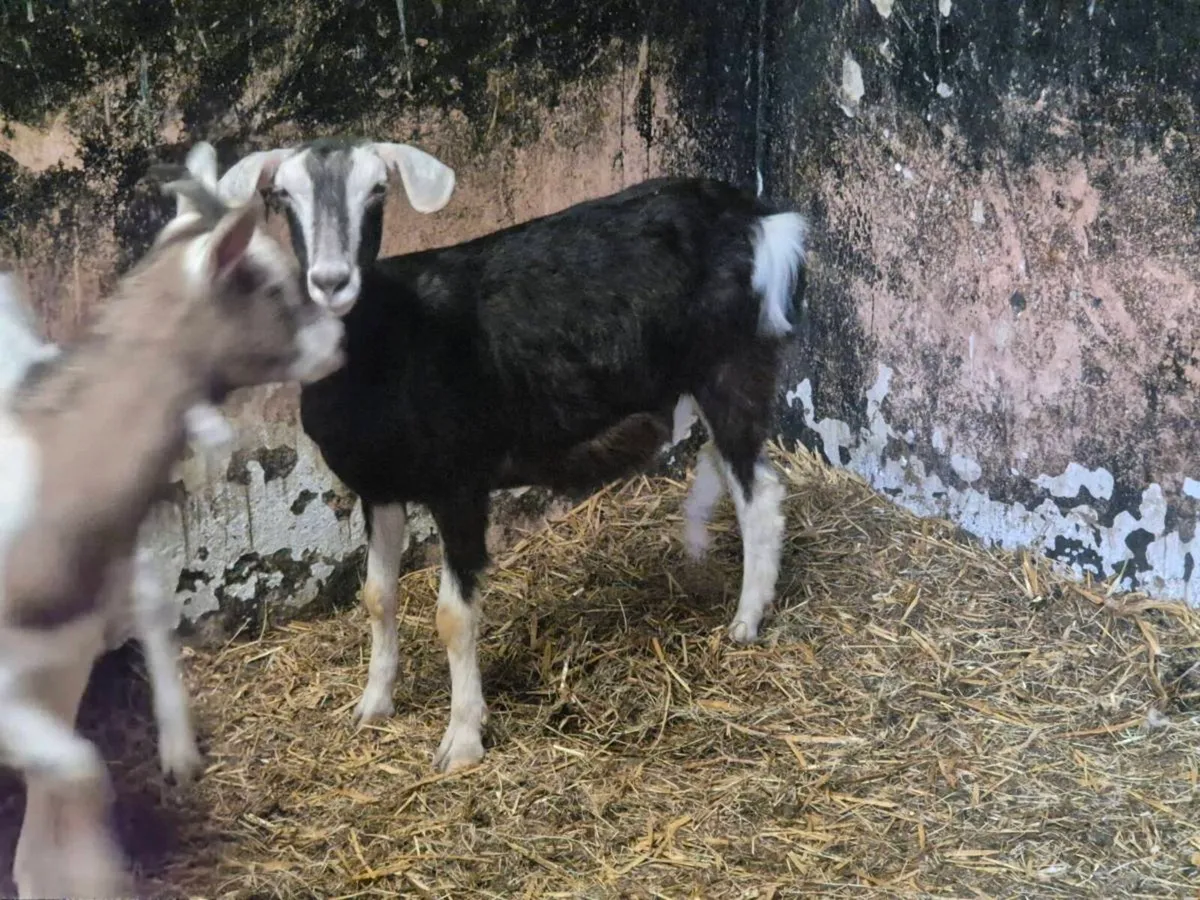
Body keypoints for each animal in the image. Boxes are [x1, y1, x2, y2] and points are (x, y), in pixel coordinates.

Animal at [220, 141, 806, 775]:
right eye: (282, 197)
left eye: (378, 192)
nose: (332, 281)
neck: (387, 342)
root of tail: (758, 218)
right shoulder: (379, 487)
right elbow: (377, 596)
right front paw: (373, 705)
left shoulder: (459, 485)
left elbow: (452, 616)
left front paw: (461, 741)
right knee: (730, 467)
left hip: (731, 362)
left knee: (760, 491)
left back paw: (746, 620)